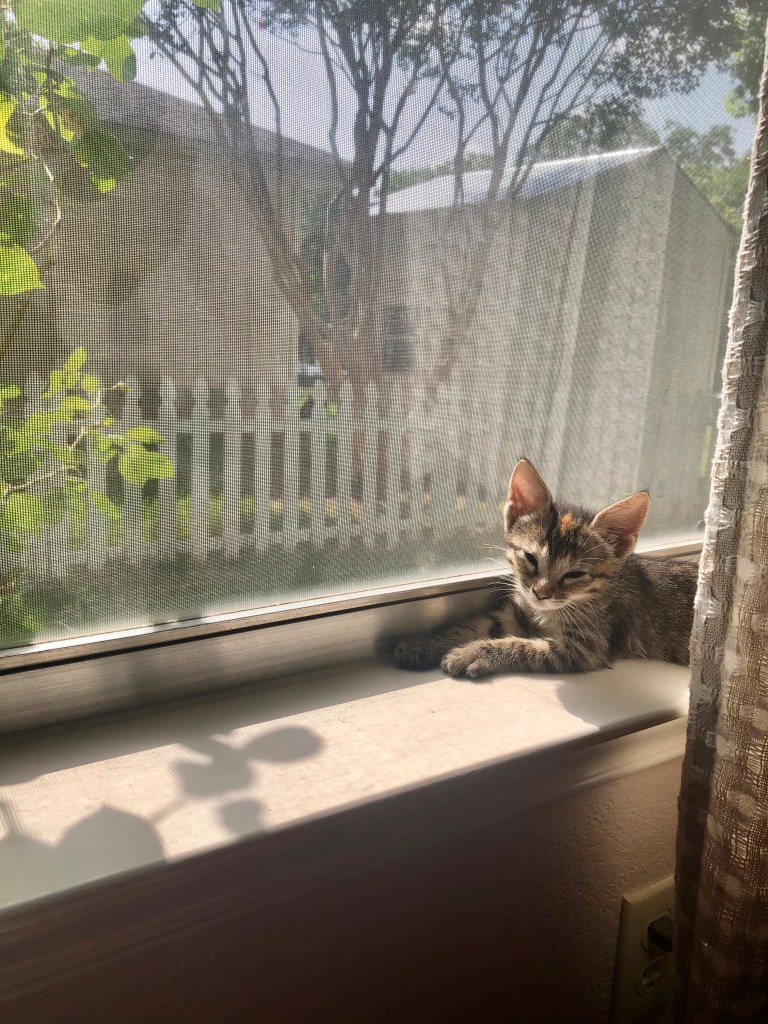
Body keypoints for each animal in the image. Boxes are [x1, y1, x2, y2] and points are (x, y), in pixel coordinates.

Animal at [394, 458, 698, 678]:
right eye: (530, 558)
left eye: (575, 574)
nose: (540, 593)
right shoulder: (517, 613)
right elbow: (479, 623)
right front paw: (423, 643)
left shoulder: (585, 649)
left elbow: (521, 646)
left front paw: (472, 654)